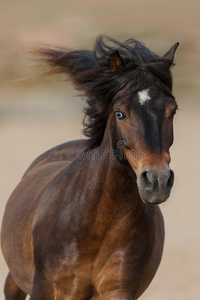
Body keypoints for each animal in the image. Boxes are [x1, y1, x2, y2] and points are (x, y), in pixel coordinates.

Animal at [0, 34, 179, 298]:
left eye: (172, 111)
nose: (157, 181)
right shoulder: (44, 287)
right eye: (119, 113)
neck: (96, 224)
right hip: (16, 279)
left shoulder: (119, 289)